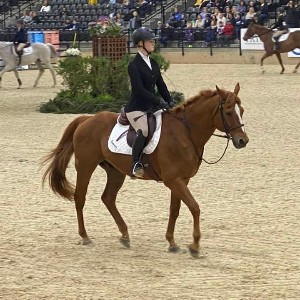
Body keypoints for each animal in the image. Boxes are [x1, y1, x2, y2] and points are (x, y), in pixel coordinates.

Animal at [41, 83, 248, 256]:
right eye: (229, 112)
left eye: (242, 111)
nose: (242, 141)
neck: (185, 133)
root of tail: (86, 119)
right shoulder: (174, 180)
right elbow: (195, 208)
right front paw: (195, 246)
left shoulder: (181, 180)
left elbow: (175, 210)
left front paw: (172, 243)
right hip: (86, 166)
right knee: (80, 198)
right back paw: (85, 237)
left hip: (115, 171)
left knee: (108, 198)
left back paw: (125, 236)